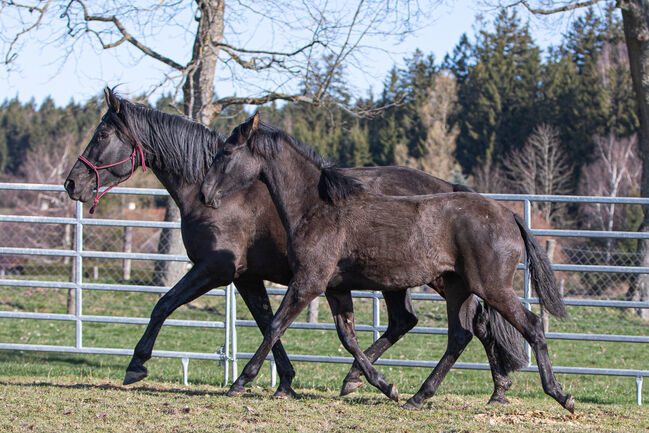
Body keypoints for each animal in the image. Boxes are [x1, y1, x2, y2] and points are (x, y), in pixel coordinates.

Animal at [63, 87, 524, 402]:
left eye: (101, 133)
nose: (72, 183)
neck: (212, 192)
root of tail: (450, 187)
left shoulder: (216, 269)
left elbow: (164, 304)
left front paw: (136, 365)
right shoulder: (248, 277)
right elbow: (269, 322)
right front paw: (284, 381)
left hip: (440, 278)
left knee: (473, 322)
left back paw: (488, 387)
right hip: (410, 280)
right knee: (416, 322)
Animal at [200, 114, 576, 412]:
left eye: (227, 152)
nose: (206, 193)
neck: (317, 208)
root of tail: (509, 215)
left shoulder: (309, 281)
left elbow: (275, 325)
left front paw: (240, 382)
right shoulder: (335, 288)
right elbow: (347, 336)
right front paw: (380, 385)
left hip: (491, 286)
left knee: (530, 325)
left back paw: (560, 395)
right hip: (459, 287)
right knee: (460, 335)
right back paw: (419, 397)